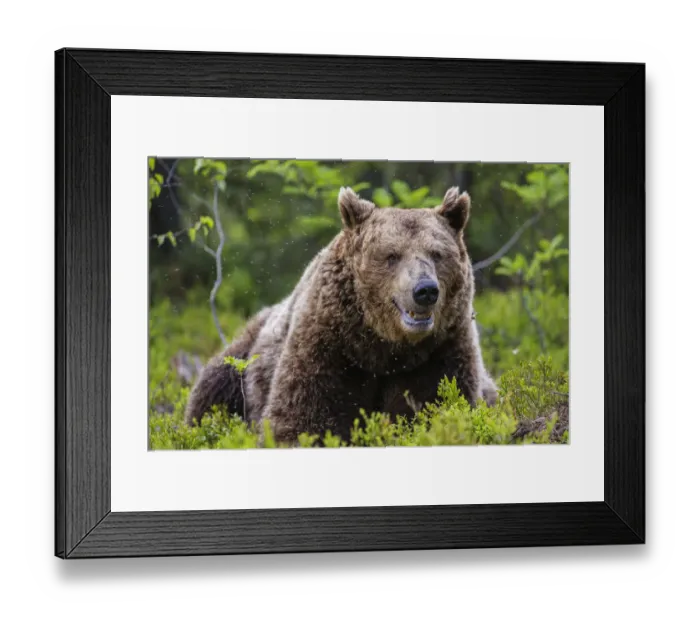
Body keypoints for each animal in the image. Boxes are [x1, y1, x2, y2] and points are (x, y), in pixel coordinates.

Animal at [185, 186, 498, 444]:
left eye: (436, 254)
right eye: (392, 255)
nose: (425, 290)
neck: (383, 348)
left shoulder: (439, 352)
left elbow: (436, 407)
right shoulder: (329, 345)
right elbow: (302, 419)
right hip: (242, 361)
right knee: (213, 390)